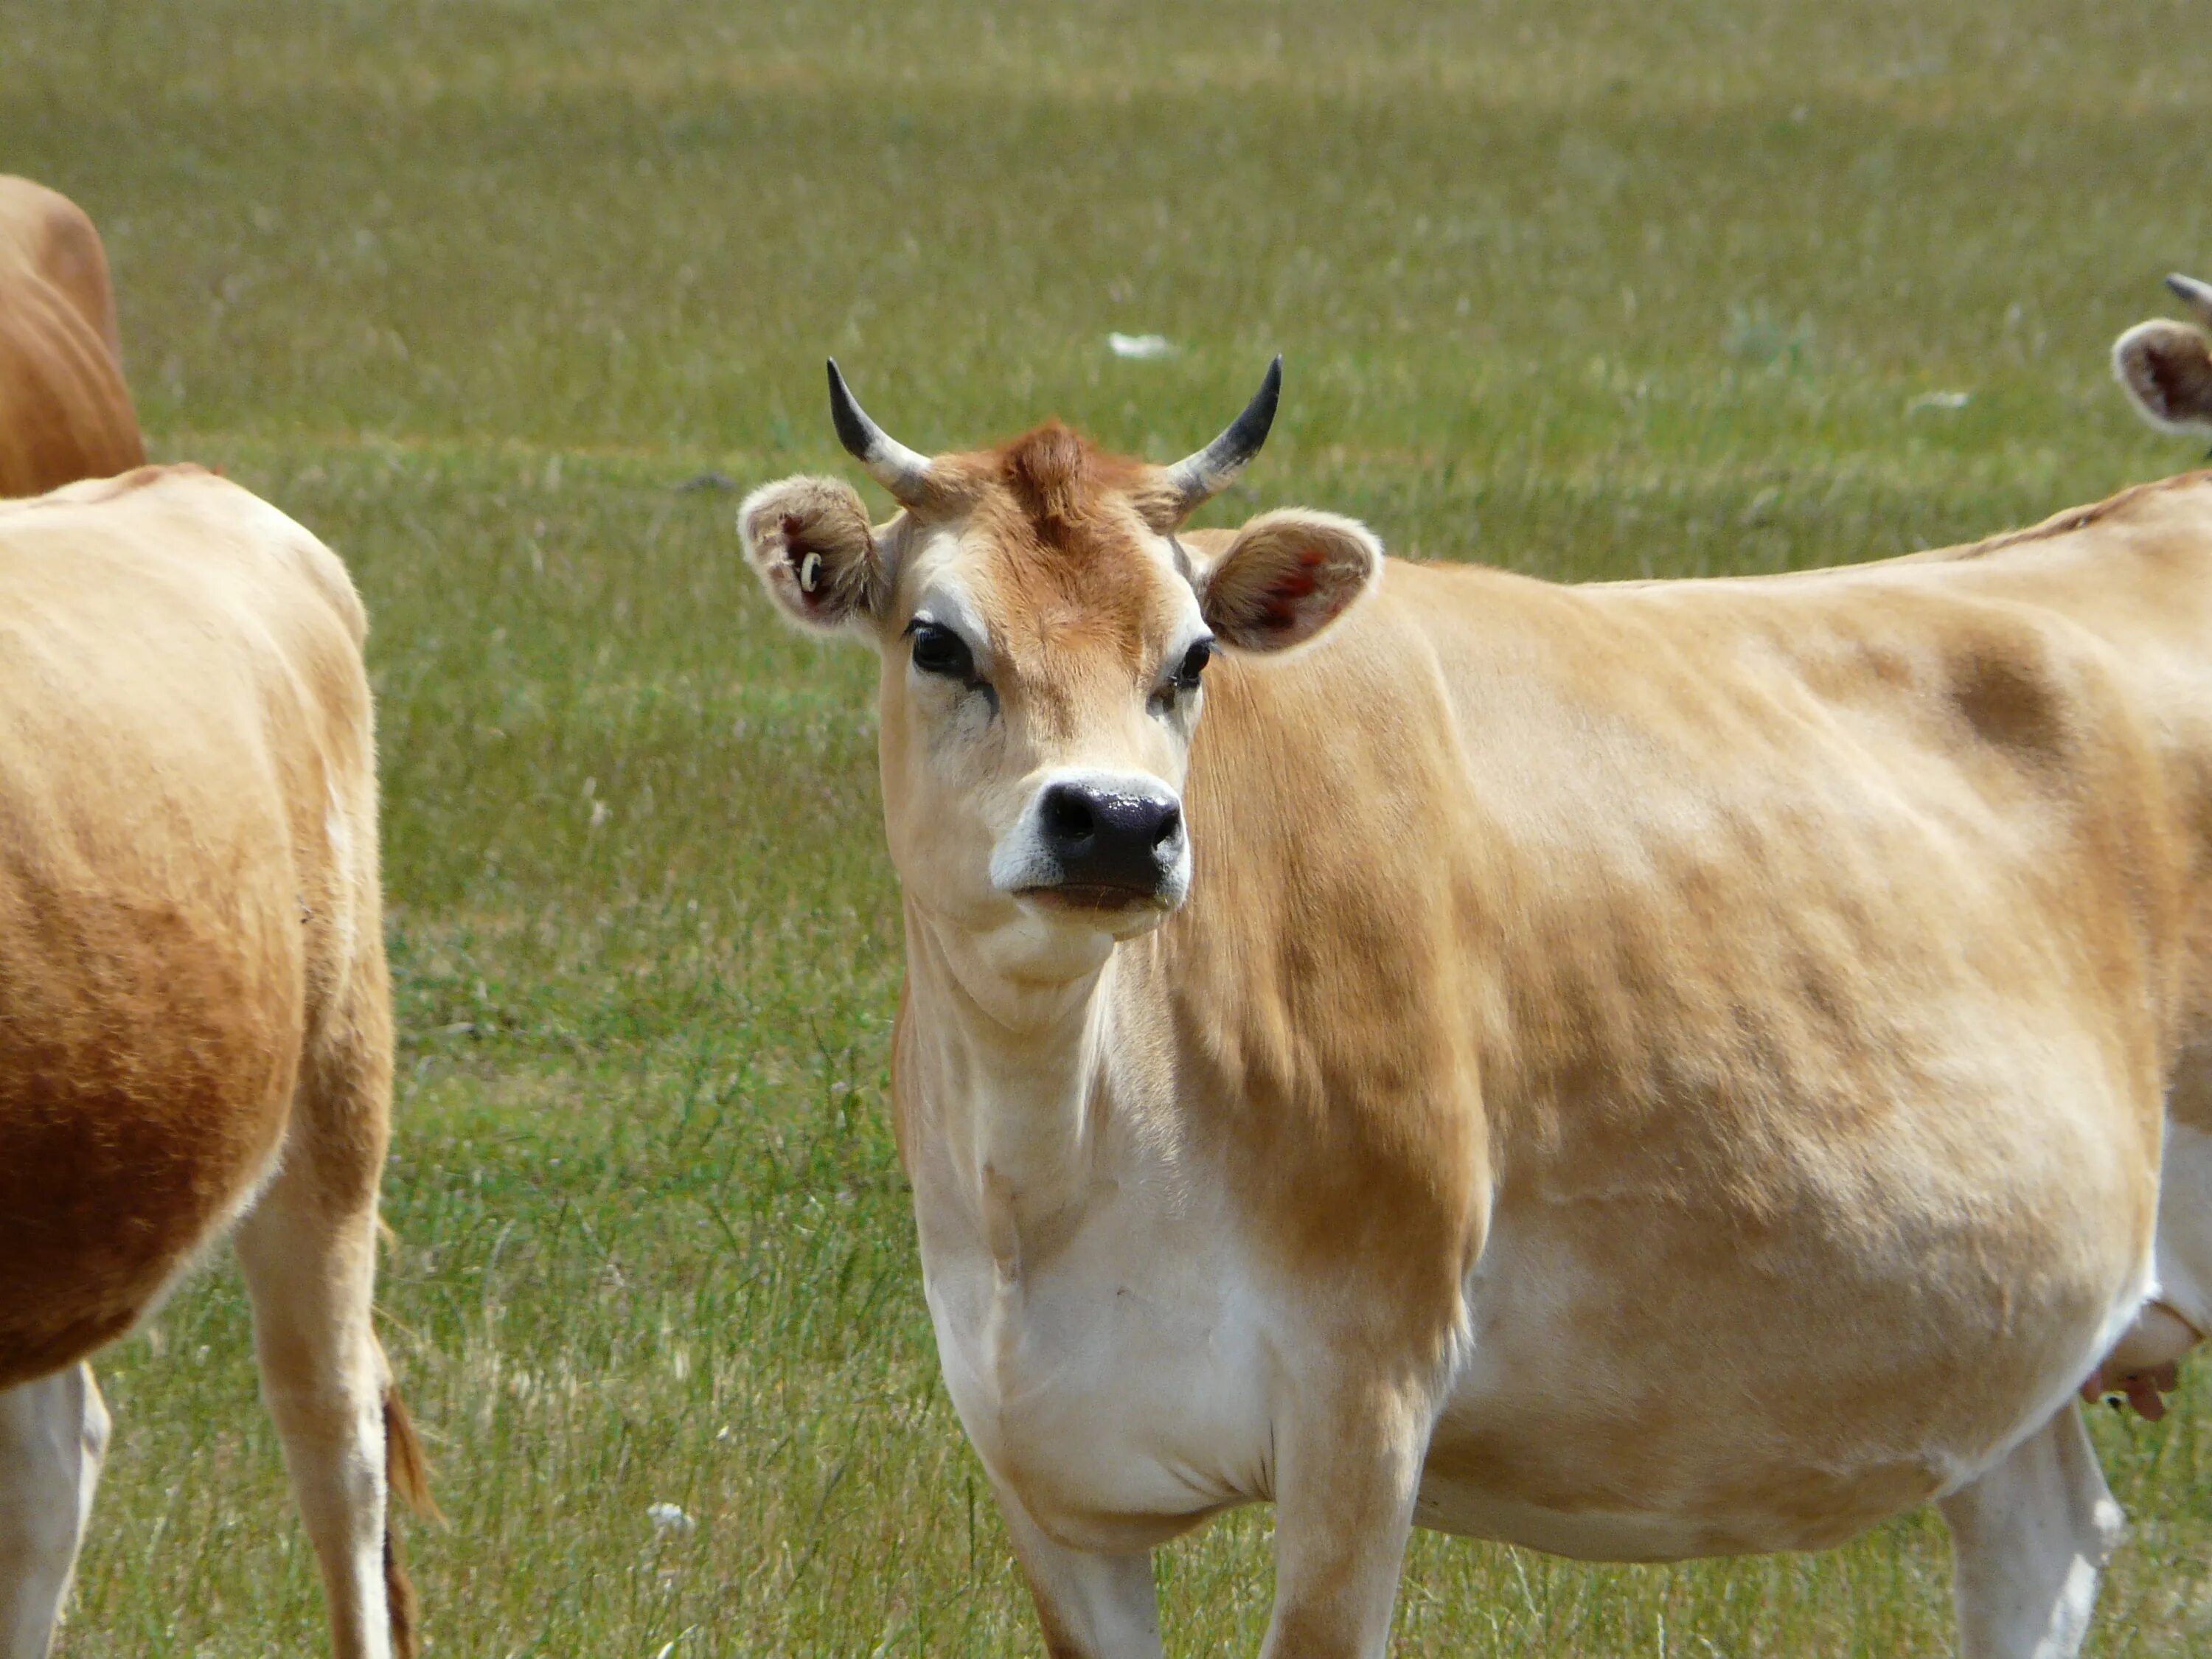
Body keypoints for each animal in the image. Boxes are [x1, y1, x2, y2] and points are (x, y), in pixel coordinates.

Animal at [748, 367, 2212, 1659]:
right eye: (938, 642)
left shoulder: (1367, 1395)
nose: (1116, 819)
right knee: (2040, 1536)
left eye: (1195, 654)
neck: (1058, 1151)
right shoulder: (1040, 1459)